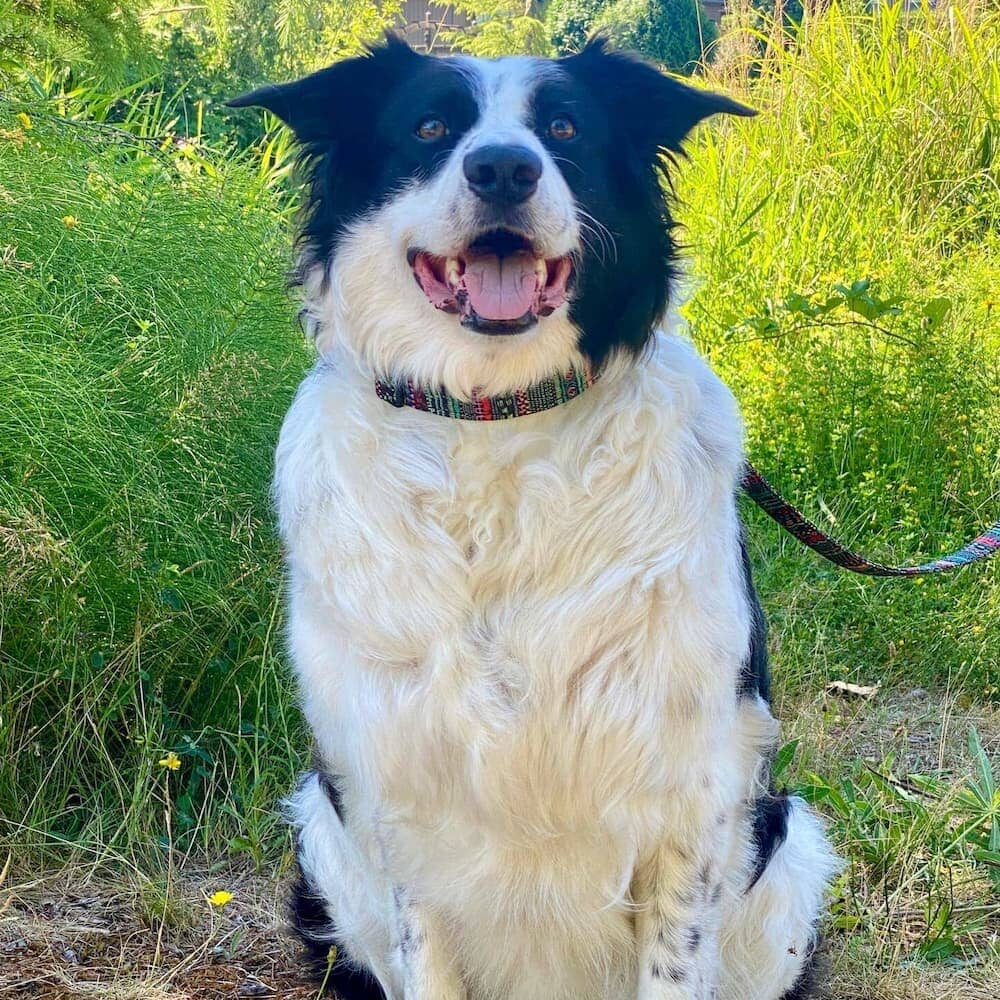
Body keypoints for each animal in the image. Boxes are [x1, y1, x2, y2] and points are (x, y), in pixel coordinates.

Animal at [230, 35, 840, 1000]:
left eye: (564, 128)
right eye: (429, 128)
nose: (504, 168)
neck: (496, 421)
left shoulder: (694, 793)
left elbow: (674, 960)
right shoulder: (401, 787)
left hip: (788, 854)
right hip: (324, 837)